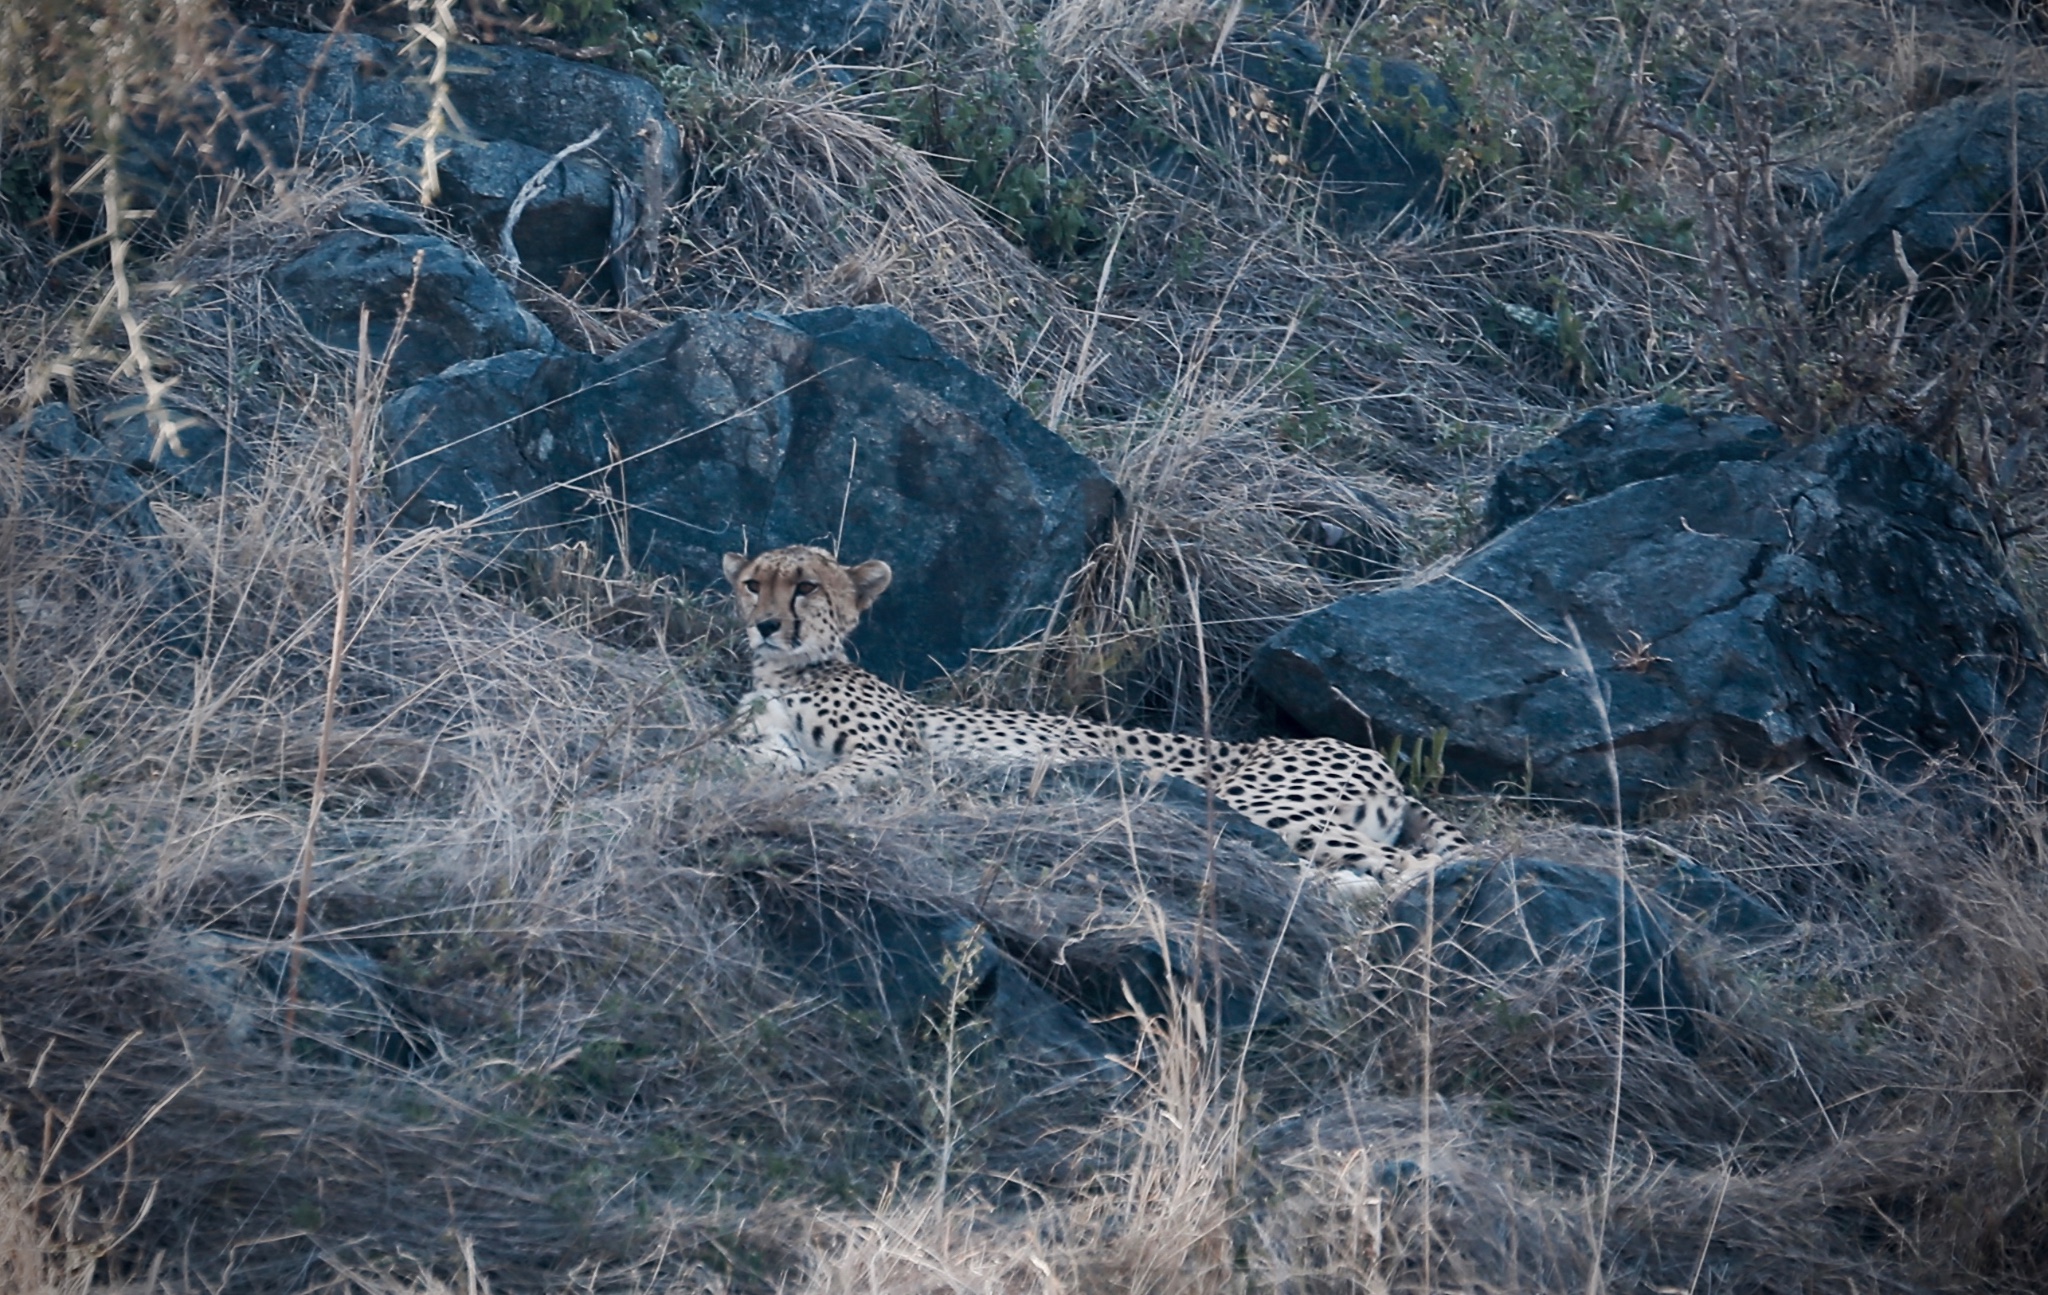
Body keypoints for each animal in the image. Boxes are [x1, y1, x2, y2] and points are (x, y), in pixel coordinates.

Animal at [729, 545, 1466, 889]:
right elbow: (757, 759)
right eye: (752, 583)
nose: (763, 624)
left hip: (1259, 803)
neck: (787, 669)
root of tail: (1376, 759)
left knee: (1405, 866)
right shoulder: (771, 744)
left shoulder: (890, 752)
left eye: (806, 586)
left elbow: (830, 777)